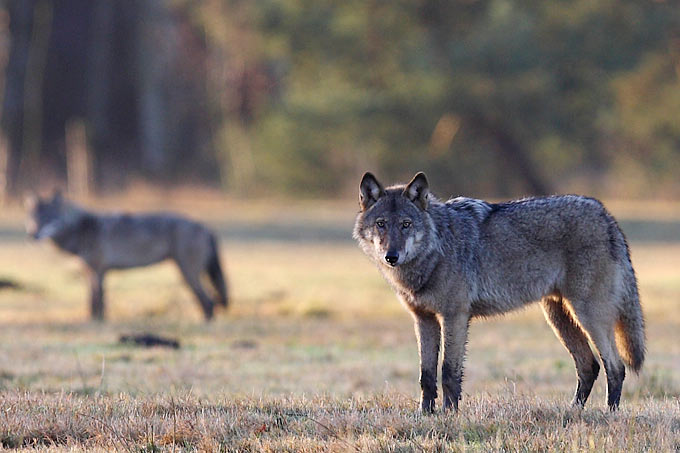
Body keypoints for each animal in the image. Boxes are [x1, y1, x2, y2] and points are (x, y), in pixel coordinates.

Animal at [26, 192, 228, 321]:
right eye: (32, 217)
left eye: (49, 217)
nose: (32, 234)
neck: (82, 229)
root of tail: (205, 227)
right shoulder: (90, 271)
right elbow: (93, 301)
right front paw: (93, 320)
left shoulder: (97, 271)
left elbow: (98, 300)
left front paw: (98, 322)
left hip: (188, 274)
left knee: (209, 302)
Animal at [353, 172, 645, 412]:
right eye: (381, 224)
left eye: (406, 224)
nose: (391, 256)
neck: (436, 250)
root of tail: (606, 215)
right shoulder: (424, 319)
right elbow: (426, 375)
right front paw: (425, 415)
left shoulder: (455, 317)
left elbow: (448, 372)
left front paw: (449, 414)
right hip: (559, 317)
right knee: (589, 366)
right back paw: (573, 411)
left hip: (588, 316)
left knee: (615, 366)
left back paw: (610, 414)